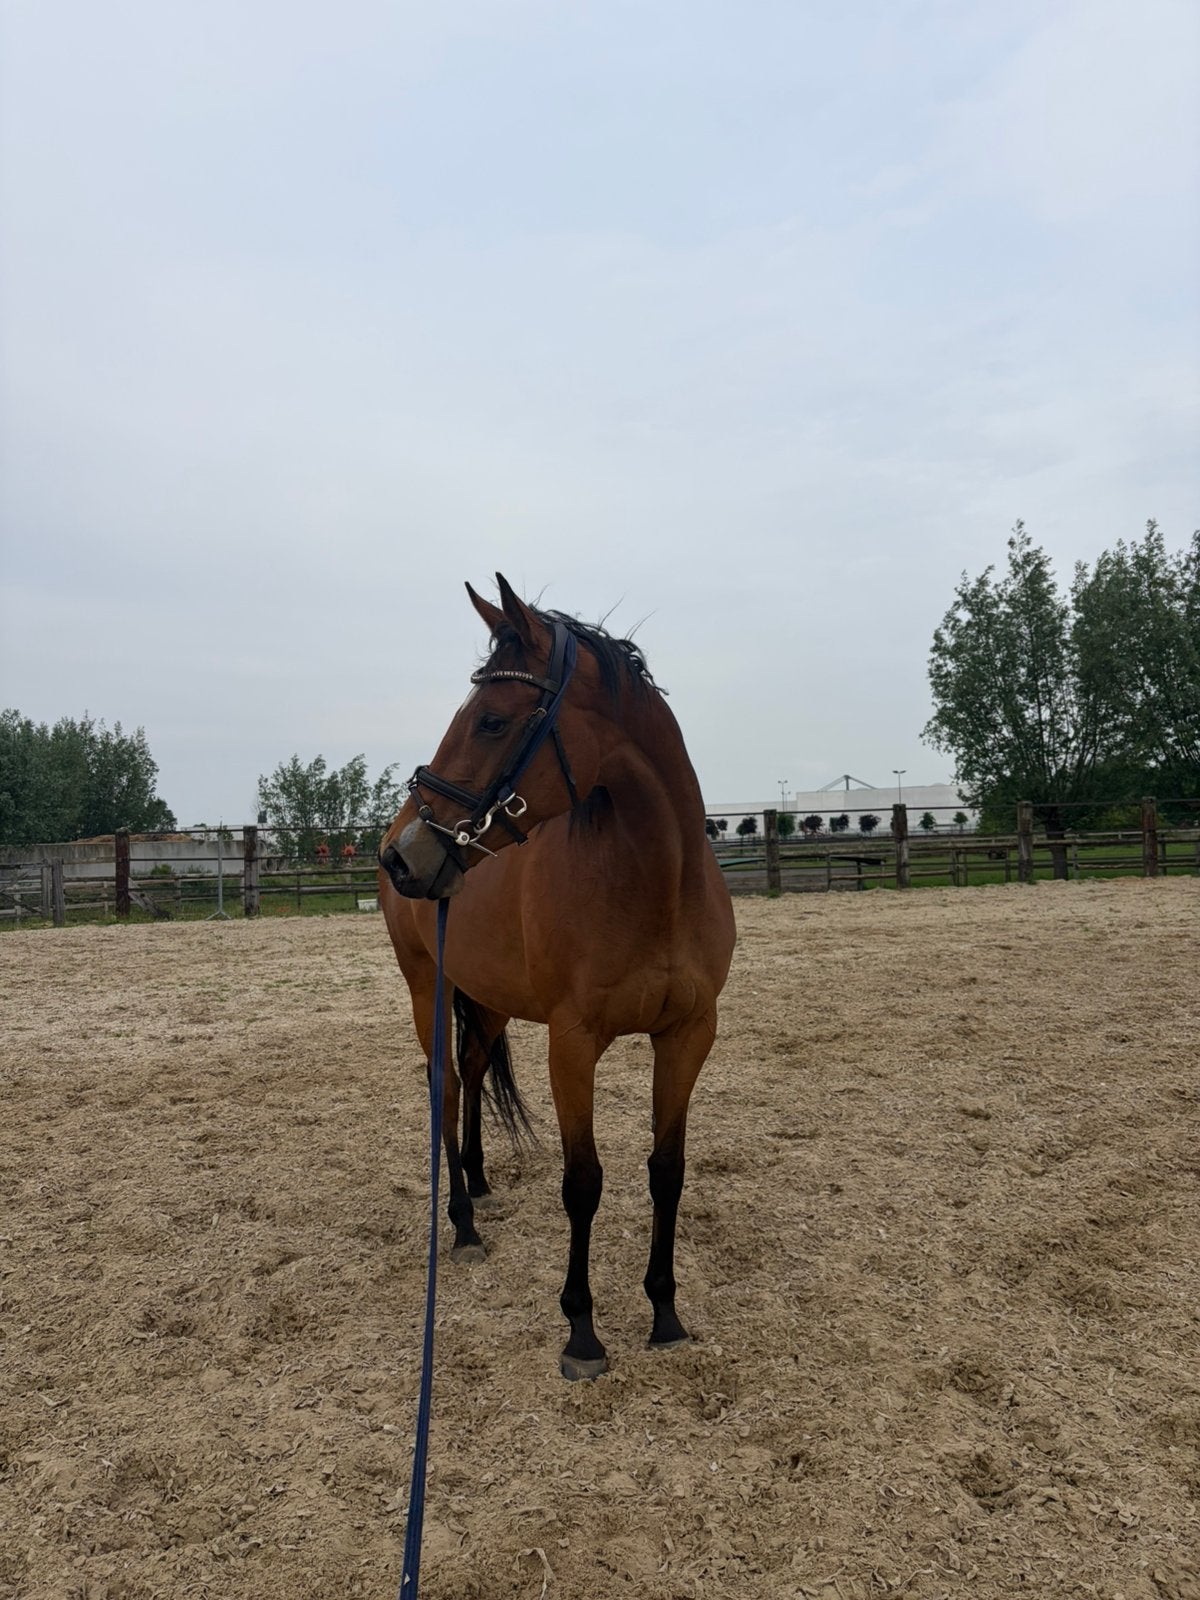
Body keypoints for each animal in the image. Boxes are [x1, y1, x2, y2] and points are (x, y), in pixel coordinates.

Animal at [378, 575, 736, 1380]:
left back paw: (479, 1180)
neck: (654, 882)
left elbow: (667, 1169)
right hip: (429, 990)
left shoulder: (688, 1035)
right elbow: (585, 1181)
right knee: (446, 1085)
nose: (406, 857)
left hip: (489, 1000)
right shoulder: (572, 1044)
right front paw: (582, 1331)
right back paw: (463, 1224)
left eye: (491, 720)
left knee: (475, 1069)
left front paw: (665, 1312)